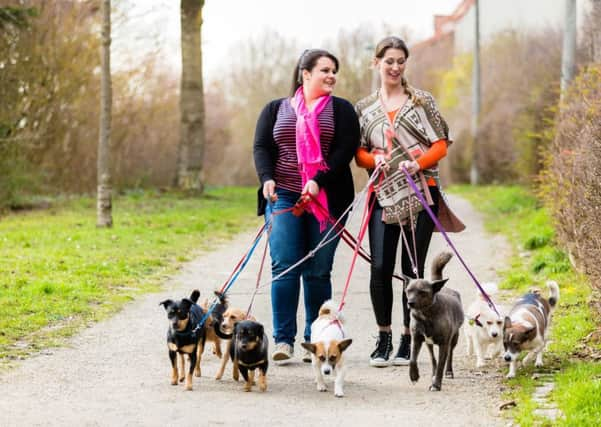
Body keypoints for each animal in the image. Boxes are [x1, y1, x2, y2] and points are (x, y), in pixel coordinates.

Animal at [404, 252, 464, 392]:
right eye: (408, 291)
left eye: (422, 292)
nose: (410, 303)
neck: (425, 316)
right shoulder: (416, 339)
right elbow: (412, 360)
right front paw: (414, 376)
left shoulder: (444, 344)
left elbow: (442, 364)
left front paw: (436, 385)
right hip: (428, 344)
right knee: (432, 359)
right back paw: (433, 373)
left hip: (454, 339)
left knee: (450, 355)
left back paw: (448, 372)